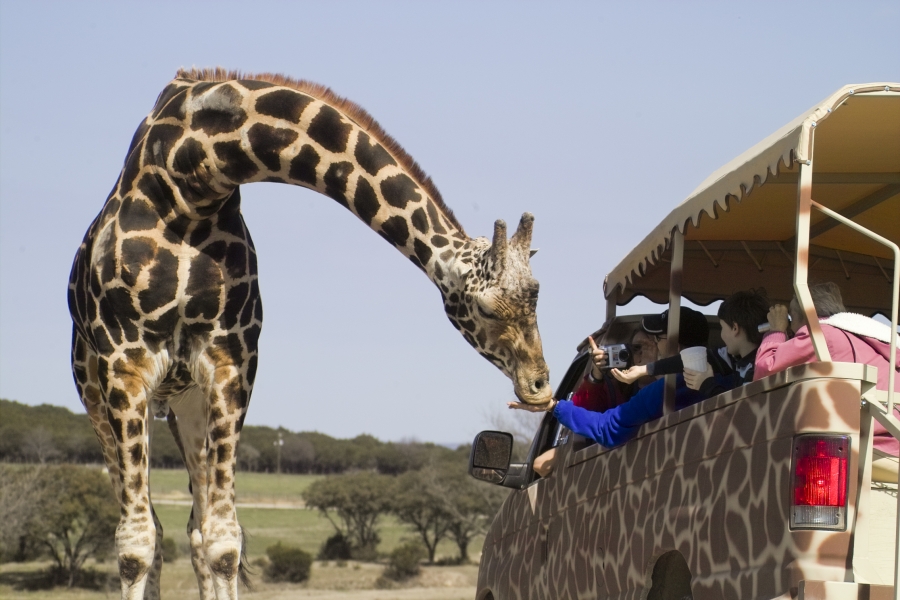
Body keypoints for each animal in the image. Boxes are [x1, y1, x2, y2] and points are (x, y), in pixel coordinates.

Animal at [67, 68, 552, 596]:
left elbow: (223, 541)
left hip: (187, 401)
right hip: (97, 395)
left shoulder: (230, 361)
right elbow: (135, 545)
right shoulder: (126, 364)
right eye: (485, 308)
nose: (540, 385)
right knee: (147, 527)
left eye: (538, 294)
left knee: (195, 528)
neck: (190, 182)